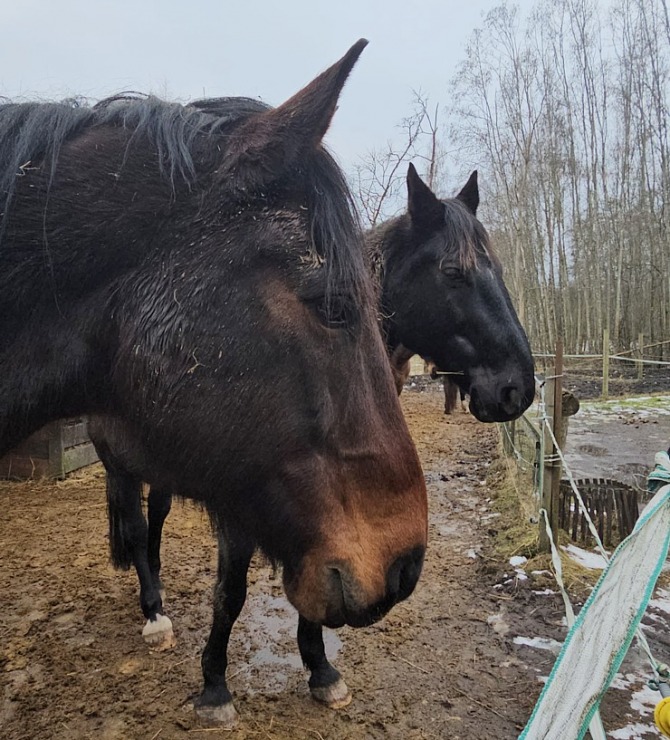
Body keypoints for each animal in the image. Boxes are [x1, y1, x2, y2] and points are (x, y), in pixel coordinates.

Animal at [88, 159, 536, 712]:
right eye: (454, 272)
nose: (518, 388)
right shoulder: (240, 502)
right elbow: (230, 593)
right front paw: (215, 683)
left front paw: (321, 669)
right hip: (118, 465)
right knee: (132, 526)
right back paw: (153, 613)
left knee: (156, 519)